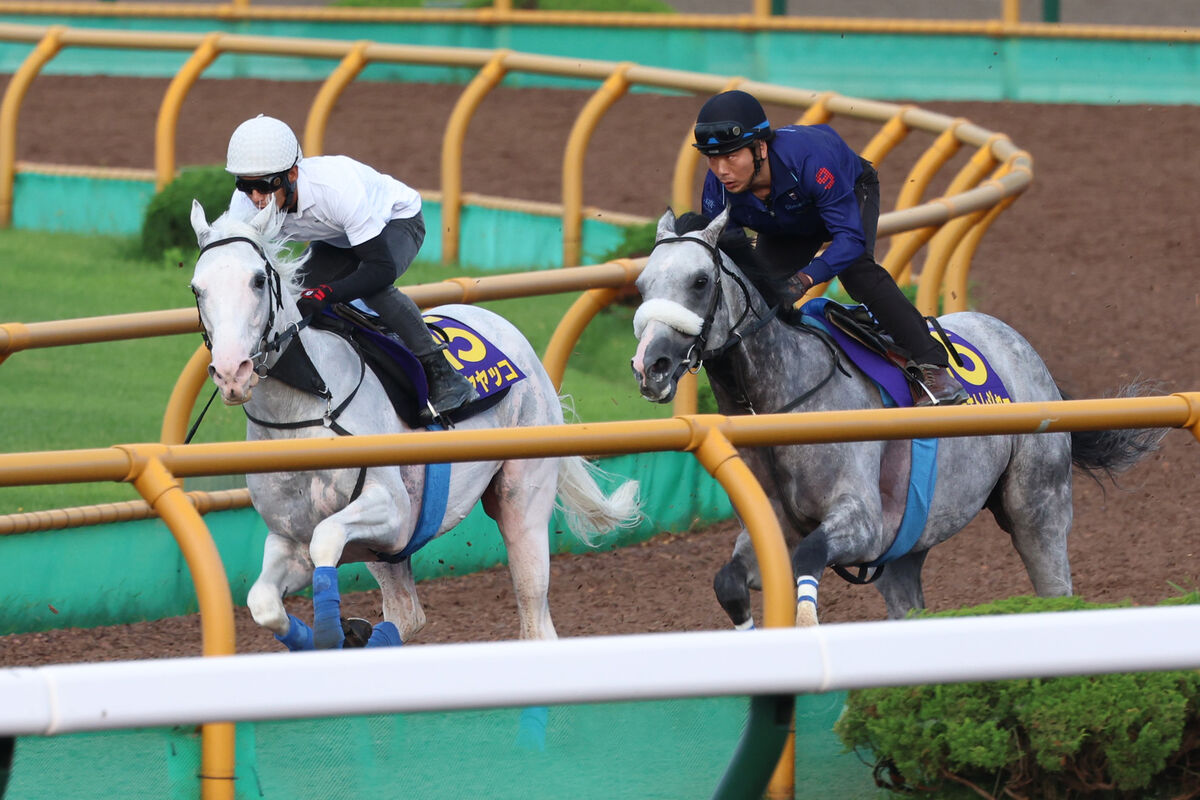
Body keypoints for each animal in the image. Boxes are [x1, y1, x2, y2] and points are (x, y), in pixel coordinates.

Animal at [189, 199, 638, 652]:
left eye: (258, 280)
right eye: (197, 288)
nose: (231, 372)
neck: (306, 410)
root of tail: (511, 333)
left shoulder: (394, 513)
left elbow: (326, 538)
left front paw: (334, 629)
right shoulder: (290, 539)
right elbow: (264, 602)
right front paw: (340, 632)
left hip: (522, 500)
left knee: (534, 619)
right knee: (408, 614)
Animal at [633, 208, 1166, 633]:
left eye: (700, 281)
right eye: (641, 286)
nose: (649, 366)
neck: (785, 400)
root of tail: (1015, 339)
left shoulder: (863, 522)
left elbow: (810, 556)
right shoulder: (772, 532)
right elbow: (728, 581)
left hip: (1038, 509)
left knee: (1055, 584)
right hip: (907, 548)